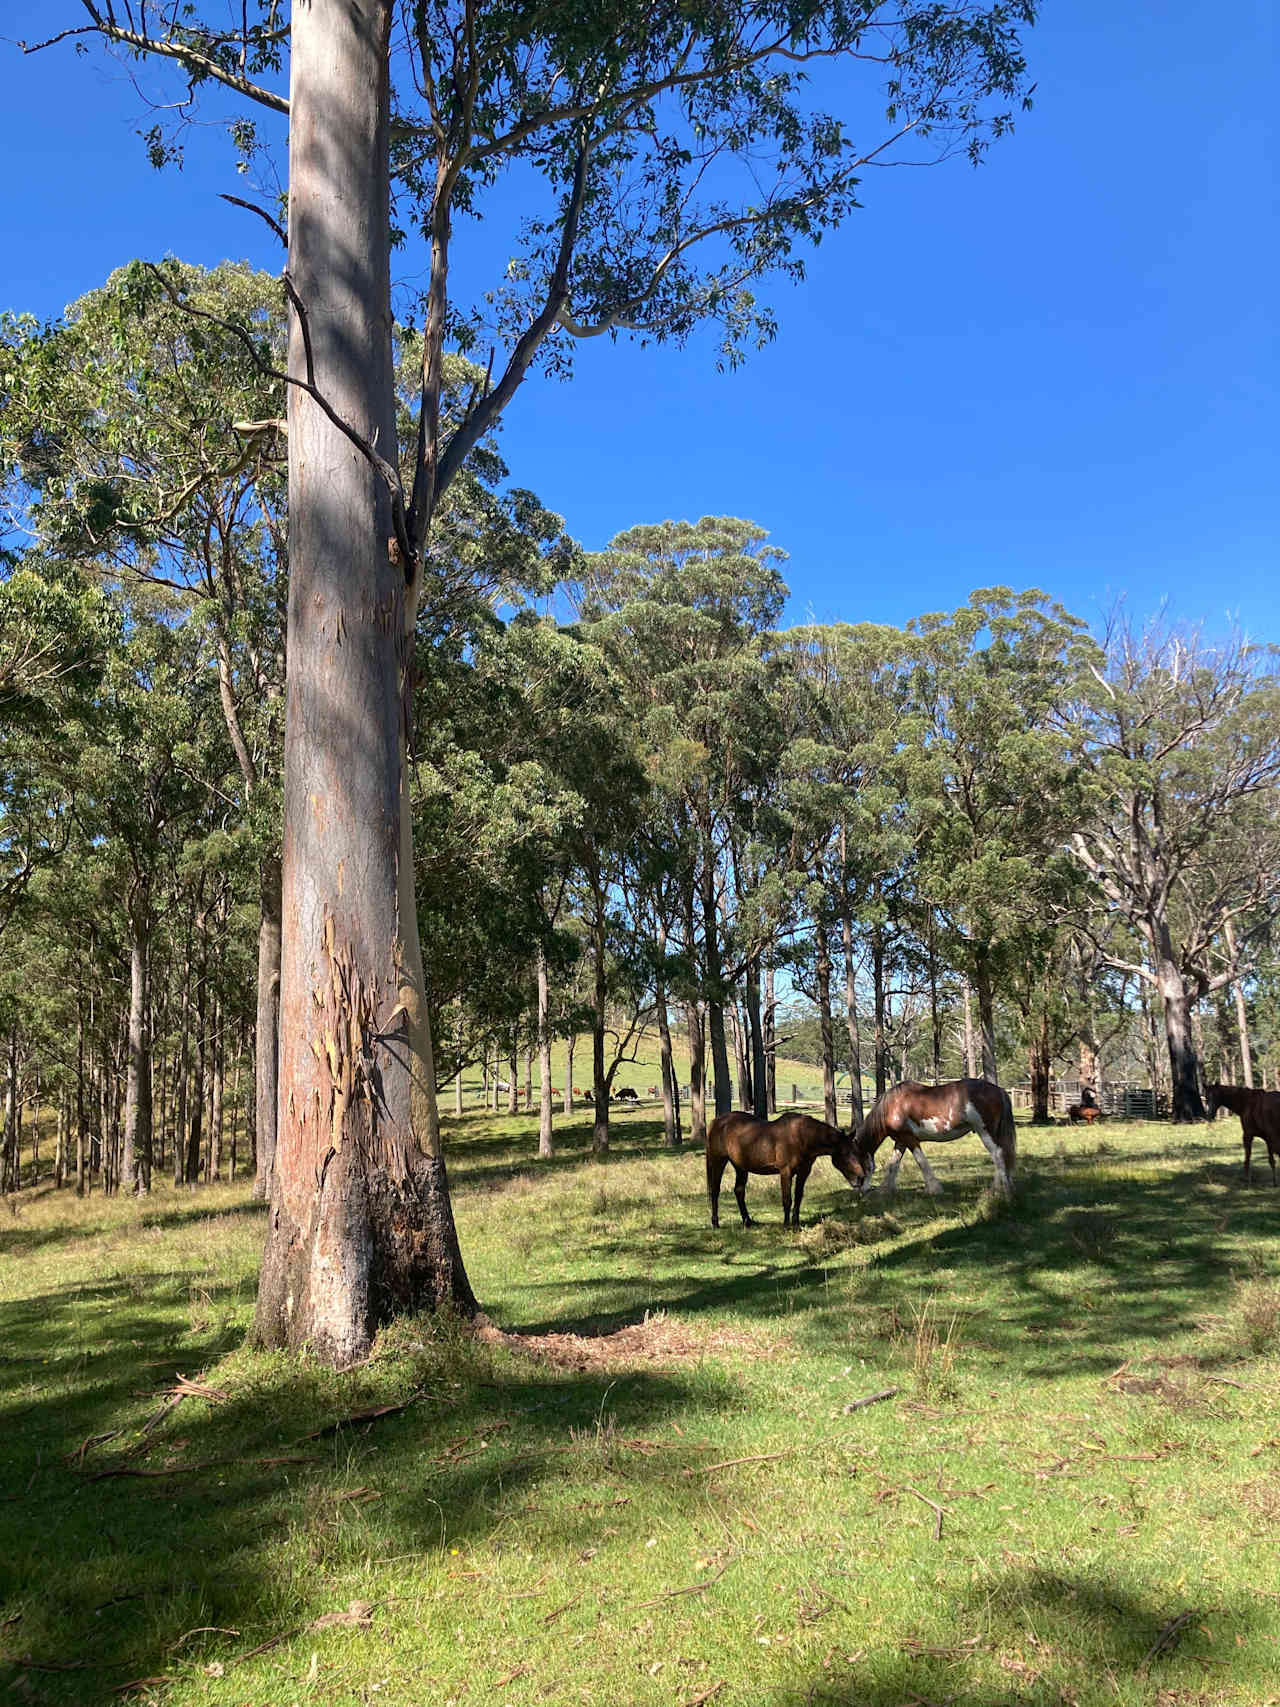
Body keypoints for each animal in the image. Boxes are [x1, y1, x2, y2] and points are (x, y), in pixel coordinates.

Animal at [706, 1106, 866, 1229]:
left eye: (857, 1152)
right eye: (845, 1154)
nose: (861, 1178)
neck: (801, 1137)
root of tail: (716, 1121)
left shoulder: (804, 1172)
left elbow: (798, 1197)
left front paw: (796, 1223)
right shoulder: (785, 1172)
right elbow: (787, 1199)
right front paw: (786, 1225)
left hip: (740, 1166)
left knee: (739, 1191)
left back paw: (748, 1221)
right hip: (718, 1160)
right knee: (715, 1190)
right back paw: (715, 1223)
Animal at [856, 1078, 1017, 1201]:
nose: (861, 1190)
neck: (893, 1105)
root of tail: (999, 1090)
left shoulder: (910, 1139)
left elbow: (921, 1162)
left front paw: (934, 1189)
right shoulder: (900, 1140)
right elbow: (893, 1164)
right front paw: (884, 1190)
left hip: (985, 1131)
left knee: (997, 1155)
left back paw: (1000, 1191)